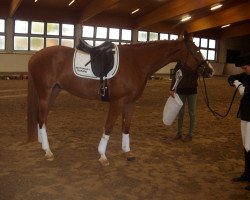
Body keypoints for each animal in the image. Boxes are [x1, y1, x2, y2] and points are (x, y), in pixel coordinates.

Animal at [27, 32, 215, 166]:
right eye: (197, 50)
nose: (210, 71)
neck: (136, 63)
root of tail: (35, 56)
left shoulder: (129, 103)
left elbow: (126, 127)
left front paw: (127, 153)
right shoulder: (117, 102)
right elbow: (109, 127)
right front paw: (103, 156)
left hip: (54, 92)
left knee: (42, 119)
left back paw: (43, 145)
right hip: (45, 93)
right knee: (42, 119)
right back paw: (48, 151)